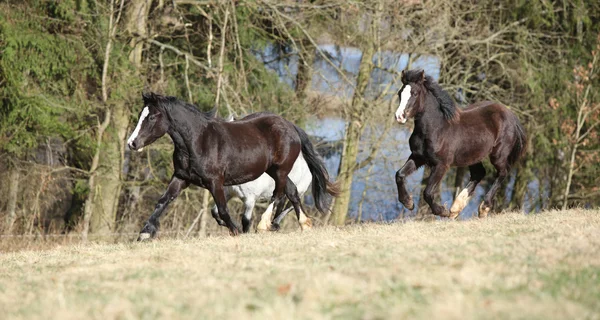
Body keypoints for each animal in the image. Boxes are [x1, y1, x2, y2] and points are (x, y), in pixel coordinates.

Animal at [127, 91, 338, 239]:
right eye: (140, 115)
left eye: (152, 116)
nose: (132, 143)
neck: (198, 141)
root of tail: (290, 126)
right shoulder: (181, 177)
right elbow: (163, 200)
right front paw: (145, 232)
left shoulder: (216, 182)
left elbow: (222, 209)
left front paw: (235, 231)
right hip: (275, 171)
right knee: (292, 192)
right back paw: (303, 224)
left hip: (281, 170)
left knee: (279, 195)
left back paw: (264, 225)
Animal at [396, 69, 528, 220]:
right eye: (400, 93)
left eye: (415, 93)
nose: (399, 116)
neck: (436, 128)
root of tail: (512, 116)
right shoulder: (418, 157)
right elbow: (399, 175)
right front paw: (408, 203)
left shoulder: (441, 164)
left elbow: (427, 192)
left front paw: (442, 211)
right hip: (473, 155)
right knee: (479, 173)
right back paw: (456, 207)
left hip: (498, 155)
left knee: (502, 173)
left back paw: (483, 208)